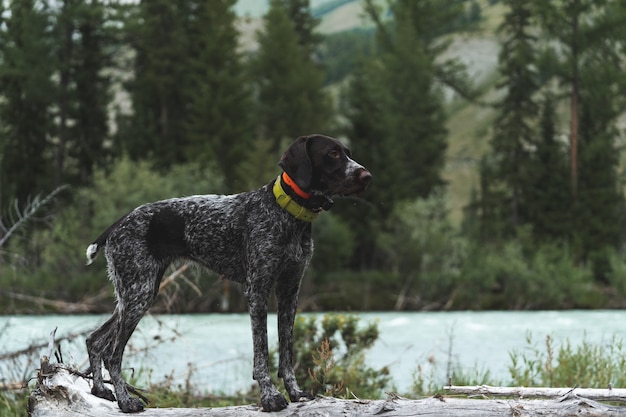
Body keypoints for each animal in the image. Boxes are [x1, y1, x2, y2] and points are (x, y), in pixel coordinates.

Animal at [83, 135, 370, 412]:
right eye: (332, 153)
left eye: (348, 152)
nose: (366, 176)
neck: (289, 214)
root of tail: (118, 225)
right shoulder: (257, 290)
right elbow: (262, 355)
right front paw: (270, 397)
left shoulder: (290, 291)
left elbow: (287, 352)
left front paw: (295, 392)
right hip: (138, 295)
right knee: (113, 354)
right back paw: (126, 401)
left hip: (136, 294)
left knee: (95, 341)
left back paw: (100, 390)